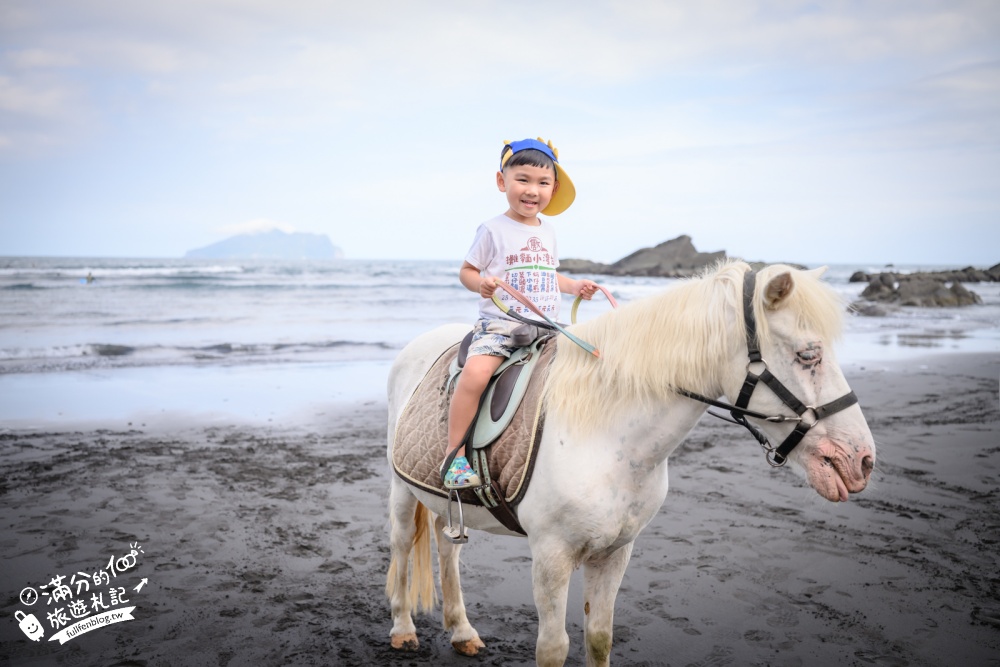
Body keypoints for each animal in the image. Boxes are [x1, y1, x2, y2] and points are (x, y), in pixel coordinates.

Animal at [385, 260, 876, 666]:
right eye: (808, 354)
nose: (862, 460)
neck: (607, 437)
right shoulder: (551, 556)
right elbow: (553, 648)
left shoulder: (616, 551)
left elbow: (599, 638)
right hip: (401, 491)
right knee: (403, 546)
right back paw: (403, 629)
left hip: (445, 501)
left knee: (447, 546)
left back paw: (462, 631)